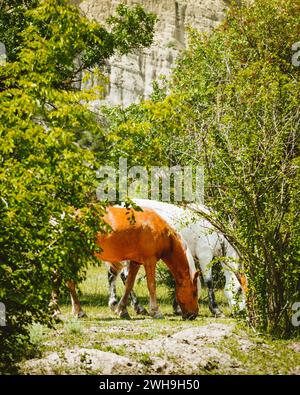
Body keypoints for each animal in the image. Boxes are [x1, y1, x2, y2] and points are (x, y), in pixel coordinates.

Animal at [65, 207, 199, 322]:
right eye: (194, 292)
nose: (193, 314)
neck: (161, 231)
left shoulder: (136, 262)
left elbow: (129, 285)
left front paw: (122, 310)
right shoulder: (150, 261)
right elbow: (151, 285)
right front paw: (155, 311)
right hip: (73, 255)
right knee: (69, 280)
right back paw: (79, 311)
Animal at [106, 200, 247, 318]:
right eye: (240, 290)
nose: (242, 312)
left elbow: (189, 281)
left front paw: (178, 307)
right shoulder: (205, 256)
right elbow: (208, 282)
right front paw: (216, 310)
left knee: (113, 275)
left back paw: (116, 304)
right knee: (125, 276)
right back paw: (136, 307)